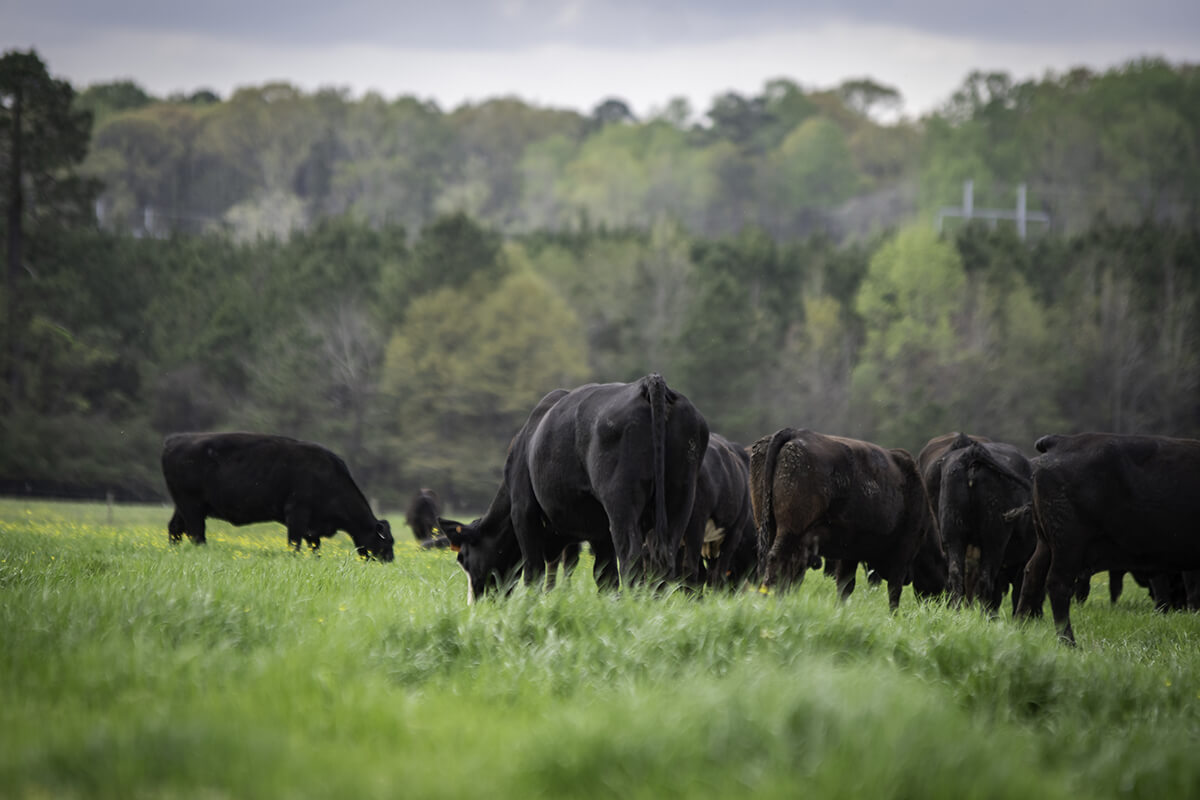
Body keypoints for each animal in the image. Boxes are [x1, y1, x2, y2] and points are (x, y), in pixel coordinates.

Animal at [158, 434, 393, 561]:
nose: (390, 561)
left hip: (184, 506)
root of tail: (174, 440)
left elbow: (314, 548)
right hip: (191, 505)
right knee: (196, 533)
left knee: (175, 528)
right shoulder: (297, 514)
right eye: (387, 541)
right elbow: (294, 544)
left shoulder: (312, 527)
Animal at [441, 374, 705, 594]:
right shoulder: (598, 531)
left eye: (463, 558)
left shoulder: (523, 510)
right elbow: (605, 576)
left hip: (621, 500)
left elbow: (534, 571)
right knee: (666, 557)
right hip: (681, 495)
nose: (476, 602)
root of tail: (649, 383)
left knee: (631, 556)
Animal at [748, 429, 936, 609]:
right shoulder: (903, 552)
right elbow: (893, 590)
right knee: (777, 560)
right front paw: (894, 615)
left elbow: (845, 586)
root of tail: (795, 432)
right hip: (790, 531)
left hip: (770, 527)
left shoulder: (850, 553)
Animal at [1017, 431, 1200, 642]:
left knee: (1032, 574)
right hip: (1068, 546)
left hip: (1046, 543)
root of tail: (1061, 441)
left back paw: (1020, 629)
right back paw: (1068, 642)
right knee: (1058, 584)